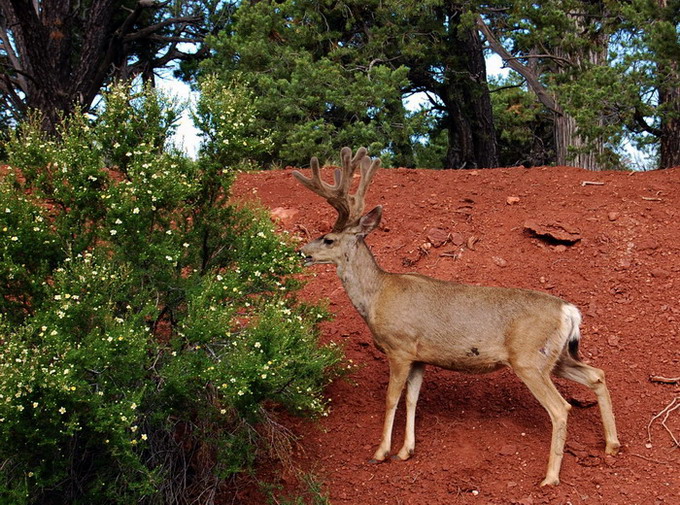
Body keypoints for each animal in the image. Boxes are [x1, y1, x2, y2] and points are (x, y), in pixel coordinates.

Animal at [290, 146, 620, 484]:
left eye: (328, 238)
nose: (302, 252)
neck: (376, 295)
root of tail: (569, 311)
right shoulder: (420, 357)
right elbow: (412, 399)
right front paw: (406, 451)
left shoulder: (400, 348)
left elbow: (392, 398)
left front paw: (381, 452)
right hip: (556, 357)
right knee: (596, 375)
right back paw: (611, 445)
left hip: (530, 358)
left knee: (561, 407)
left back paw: (550, 477)